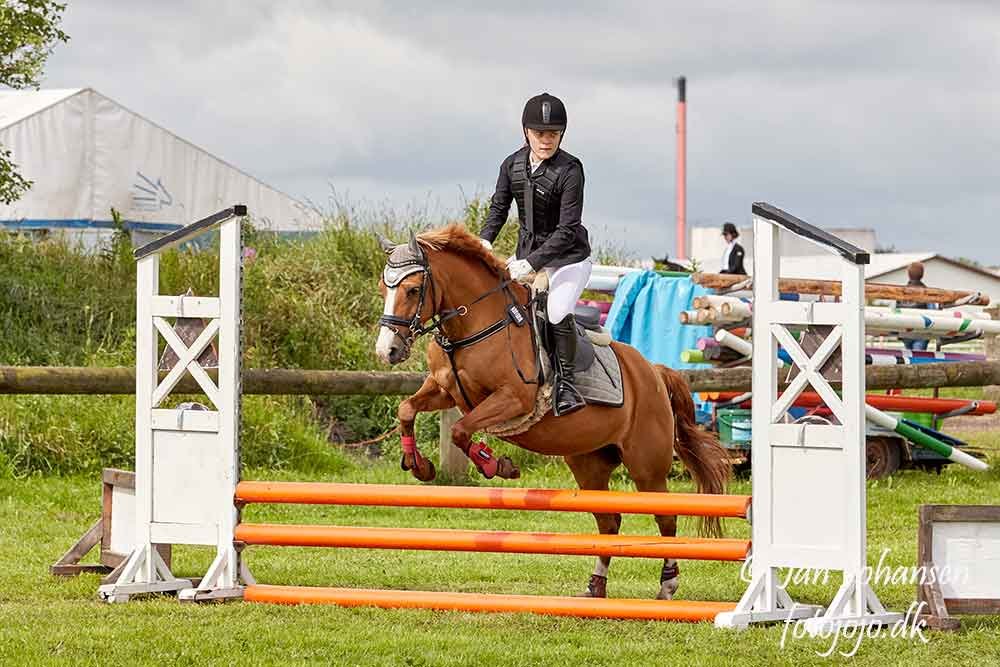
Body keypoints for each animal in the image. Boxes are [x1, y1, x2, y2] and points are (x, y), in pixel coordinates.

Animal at [374, 225, 731, 600]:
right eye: (384, 288)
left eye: (413, 290)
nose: (387, 351)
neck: (473, 326)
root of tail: (654, 371)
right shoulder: (445, 392)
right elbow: (406, 409)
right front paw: (419, 465)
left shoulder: (514, 398)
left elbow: (460, 431)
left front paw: (496, 465)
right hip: (590, 464)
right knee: (609, 522)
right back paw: (595, 588)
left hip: (647, 467)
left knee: (666, 517)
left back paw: (667, 584)